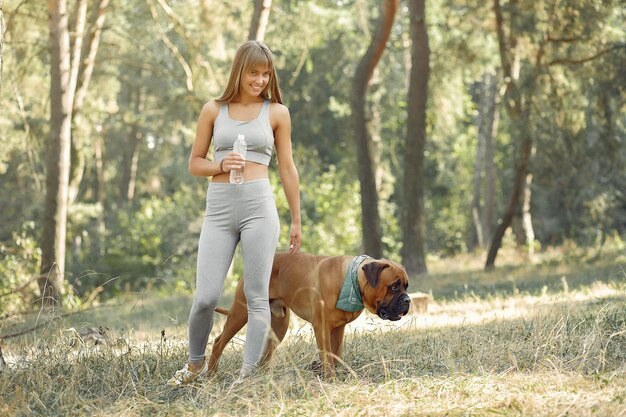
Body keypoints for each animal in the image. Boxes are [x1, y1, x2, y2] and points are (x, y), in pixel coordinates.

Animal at [205, 250, 410, 376]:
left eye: (406, 286)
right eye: (393, 286)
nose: (407, 300)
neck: (352, 280)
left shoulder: (338, 330)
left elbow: (335, 355)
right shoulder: (322, 328)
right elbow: (327, 356)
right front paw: (330, 379)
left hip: (278, 327)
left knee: (266, 353)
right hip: (240, 313)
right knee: (218, 342)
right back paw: (212, 376)